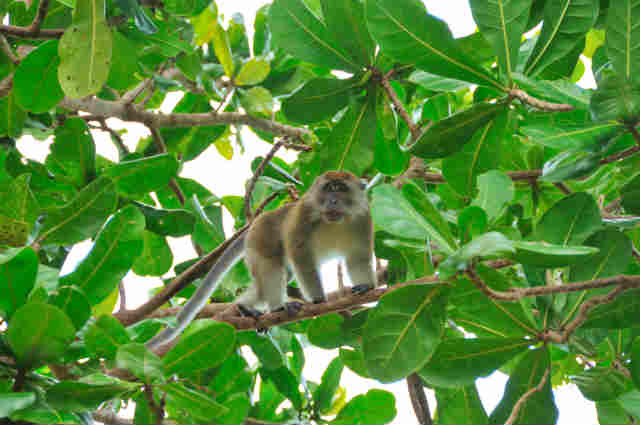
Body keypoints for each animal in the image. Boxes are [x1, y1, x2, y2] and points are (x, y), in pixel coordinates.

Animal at [145, 171, 376, 350]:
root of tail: (255, 223)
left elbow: (358, 256)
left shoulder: (363, 219)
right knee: (272, 268)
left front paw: (365, 286)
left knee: (275, 277)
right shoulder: (304, 214)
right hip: (261, 237)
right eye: (328, 188)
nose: (332, 200)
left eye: (341, 189)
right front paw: (318, 300)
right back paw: (276, 308)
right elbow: (301, 255)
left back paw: (244, 306)